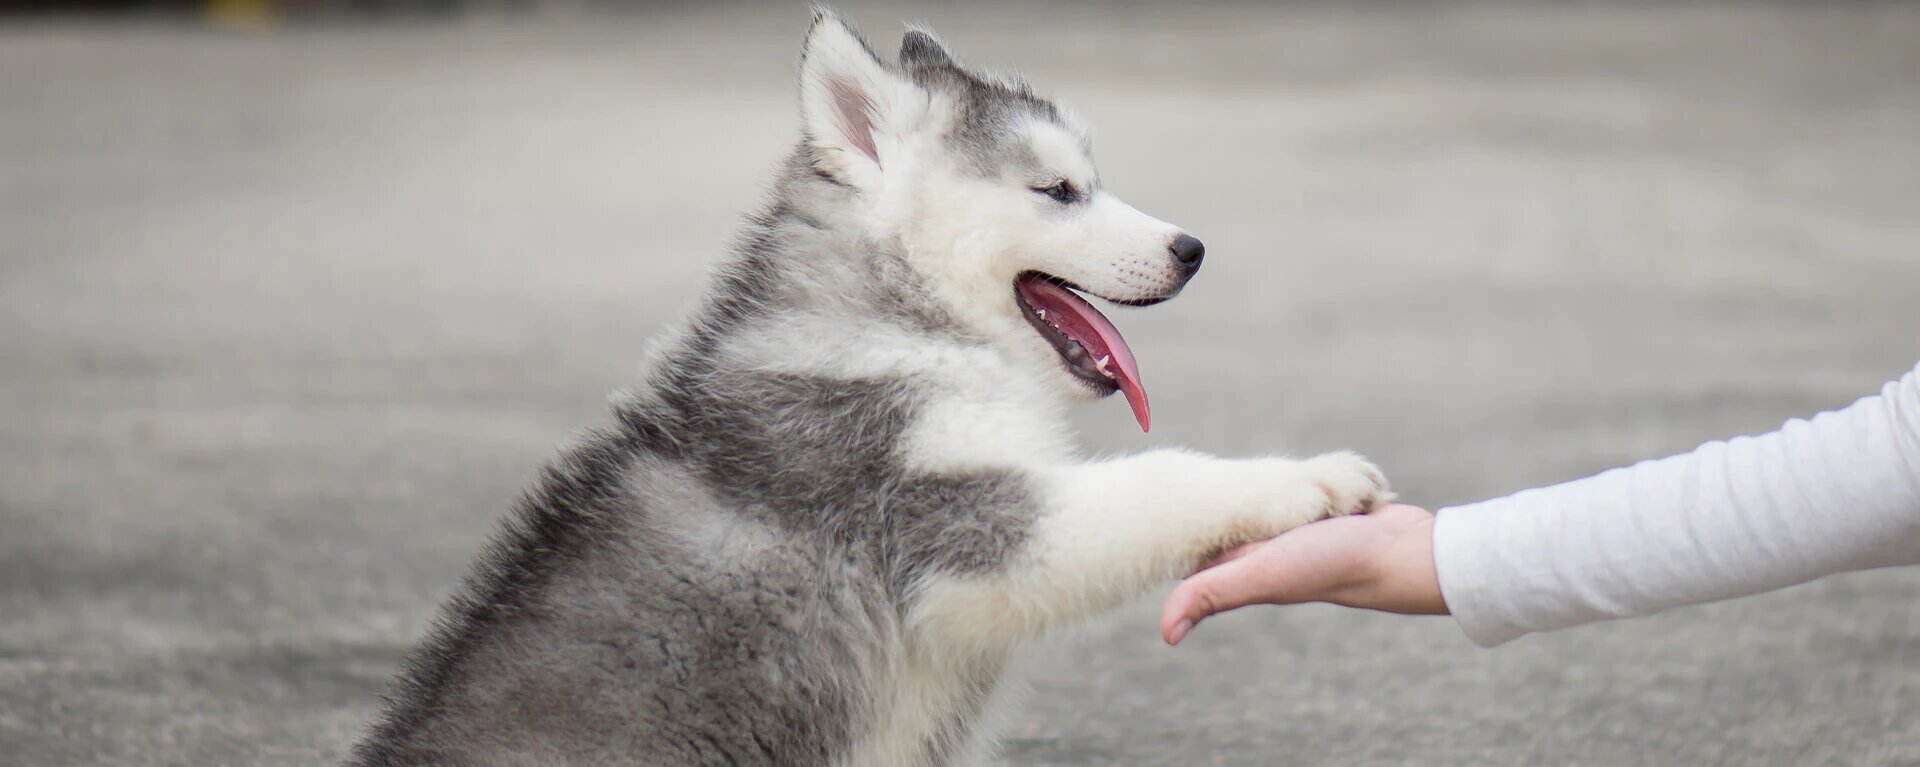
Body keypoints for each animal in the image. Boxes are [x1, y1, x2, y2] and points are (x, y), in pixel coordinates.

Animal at [353, 12, 1390, 767]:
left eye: (1090, 180)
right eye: (1058, 191)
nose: (1192, 248)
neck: (903, 325)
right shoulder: (948, 519)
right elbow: (1160, 482)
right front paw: (1307, 478)